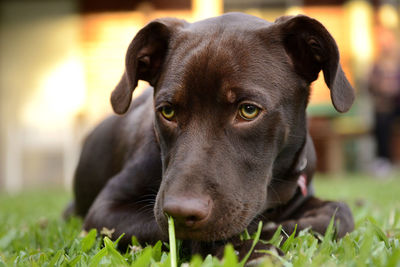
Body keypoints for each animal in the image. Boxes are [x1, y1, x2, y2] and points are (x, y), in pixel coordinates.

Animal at [66, 12, 356, 260]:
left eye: (248, 110)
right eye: (167, 111)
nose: (181, 213)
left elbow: (341, 213)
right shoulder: (104, 212)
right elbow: (204, 235)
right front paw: (254, 249)